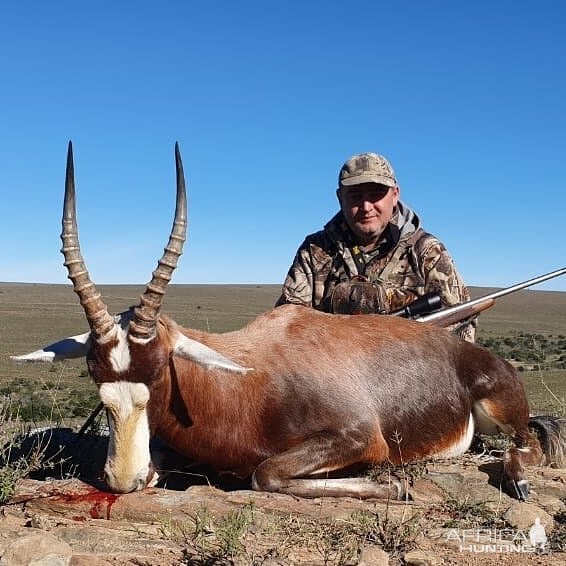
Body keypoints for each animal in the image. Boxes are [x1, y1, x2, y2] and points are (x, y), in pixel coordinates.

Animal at [13, 145, 564, 502]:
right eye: (97, 380)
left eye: (159, 373)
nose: (124, 480)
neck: (246, 384)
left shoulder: (360, 437)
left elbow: (266, 474)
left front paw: (394, 486)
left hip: (504, 413)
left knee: (527, 446)